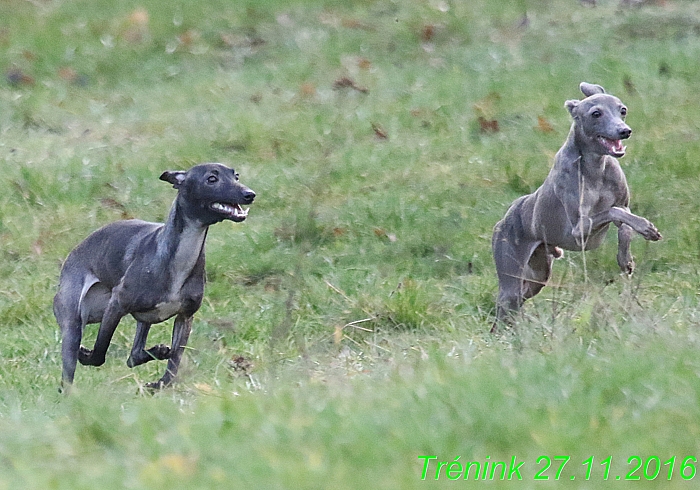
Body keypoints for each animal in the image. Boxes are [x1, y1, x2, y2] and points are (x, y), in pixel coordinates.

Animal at [54, 164, 256, 390]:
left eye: (236, 176)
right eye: (211, 179)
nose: (249, 194)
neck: (179, 259)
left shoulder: (185, 317)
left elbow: (173, 365)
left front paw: (158, 383)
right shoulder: (117, 304)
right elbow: (99, 353)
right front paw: (86, 354)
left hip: (144, 319)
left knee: (133, 355)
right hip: (73, 321)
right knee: (69, 374)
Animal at [492, 82, 660, 328]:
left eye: (623, 110)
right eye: (596, 113)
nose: (624, 131)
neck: (595, 168)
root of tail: (503, 219)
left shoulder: (623, 204)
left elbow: (624, 221)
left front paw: (627, 257)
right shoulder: (579, 230)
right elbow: (613, 211)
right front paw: (646, 228)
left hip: (538, 275)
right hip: (510, 274)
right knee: (504, 307)